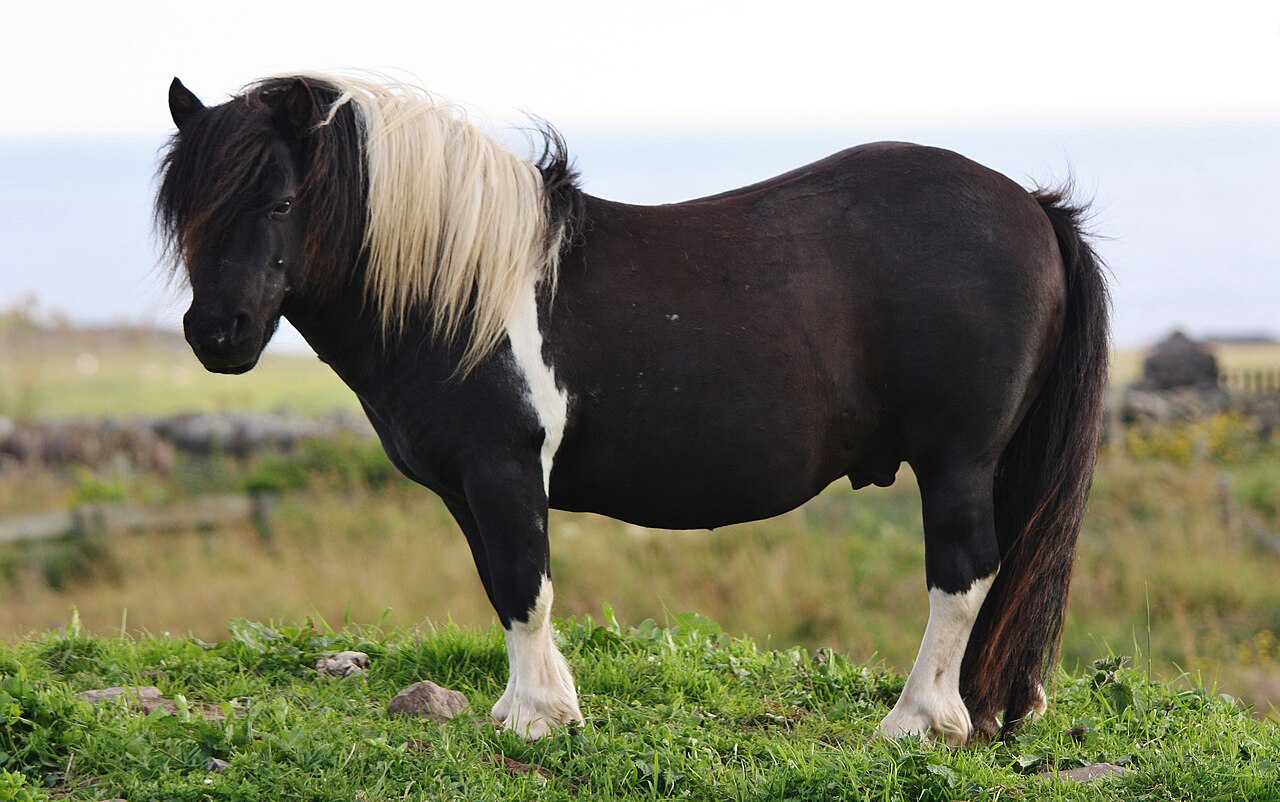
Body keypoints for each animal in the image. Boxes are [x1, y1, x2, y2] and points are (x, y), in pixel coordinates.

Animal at [156, 73, 1109, 744]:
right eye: (184, 212)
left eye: (281, 200)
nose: (217, 334)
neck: (462, 292)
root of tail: (1032, 207)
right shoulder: (470, 484)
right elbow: (504, 584)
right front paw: (537, 706)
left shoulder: (503, 467)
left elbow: (524, 584)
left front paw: (536, 719)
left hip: (957, 460)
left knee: (964, 573)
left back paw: (918, 722)